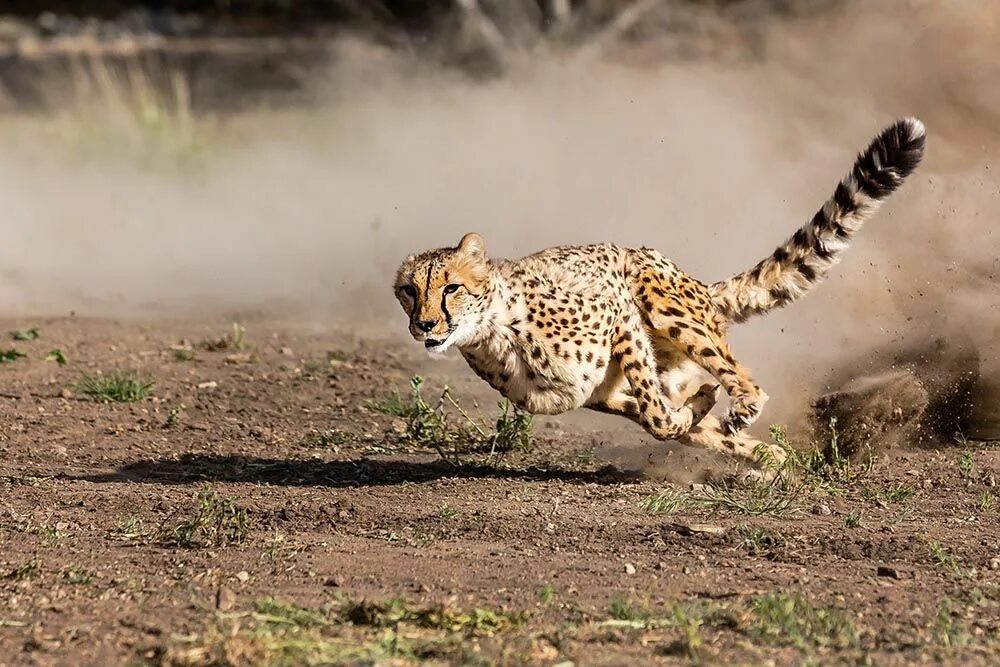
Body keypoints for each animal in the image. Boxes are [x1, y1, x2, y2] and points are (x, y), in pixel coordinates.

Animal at [394, 118, 924, 464]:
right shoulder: (599, 393)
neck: (494, 331)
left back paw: (743, 409)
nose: (424, 324)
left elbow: (657, 416)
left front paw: (705, 411)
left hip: (663, 304)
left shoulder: (618, 314)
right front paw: (712, 421)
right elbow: (665, 419)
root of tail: (696, 282)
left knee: (743, 379)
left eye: (451, 287)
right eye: (408, 291)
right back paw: (767, 460)